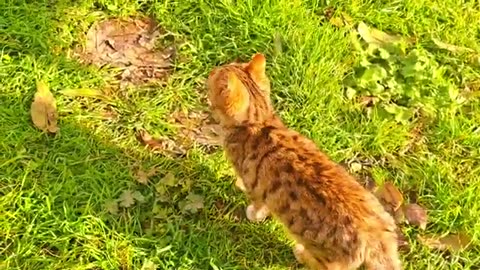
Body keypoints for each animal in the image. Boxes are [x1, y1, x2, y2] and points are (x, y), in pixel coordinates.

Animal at [206, 53, 402, 270]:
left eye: (214, 75)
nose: (211, 70)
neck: (259, 121)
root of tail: (377, 236)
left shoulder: (256, 188)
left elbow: (258, 205)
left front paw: (251, 210)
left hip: (324, 253)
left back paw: (300, 253)